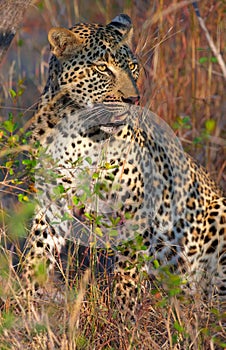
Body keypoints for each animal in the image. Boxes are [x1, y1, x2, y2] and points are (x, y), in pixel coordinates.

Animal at [21, 13, 226, 322]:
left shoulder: (135, 206)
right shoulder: (52, 197)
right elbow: (37, 249)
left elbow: (128, 268)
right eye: (102, 69)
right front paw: (23, 301)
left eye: (133, 67)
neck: (80, 130)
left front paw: (125, 316)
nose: (133, 100)